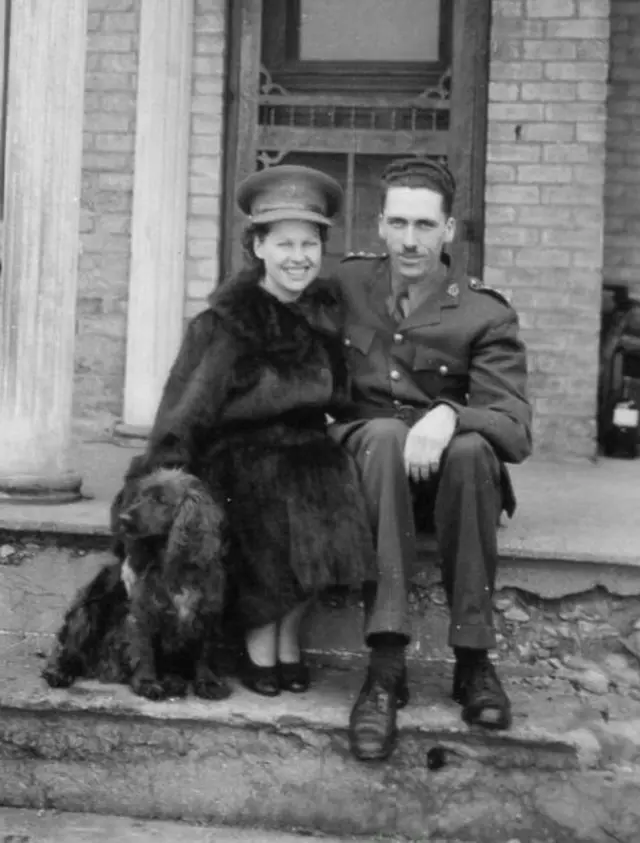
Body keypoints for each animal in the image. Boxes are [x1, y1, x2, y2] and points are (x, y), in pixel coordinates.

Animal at [41, 464, 230, 704]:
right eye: (140, 497)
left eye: (160, 500)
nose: (123, 518)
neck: (173, 568)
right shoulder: (141, 615)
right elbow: (144, 650)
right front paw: (147, 683)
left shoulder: (207, 615)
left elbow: (204, 653)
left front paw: (208, 682)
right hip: (85, 612)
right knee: (66, 650)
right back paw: (59, 672)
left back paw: (173, 681)